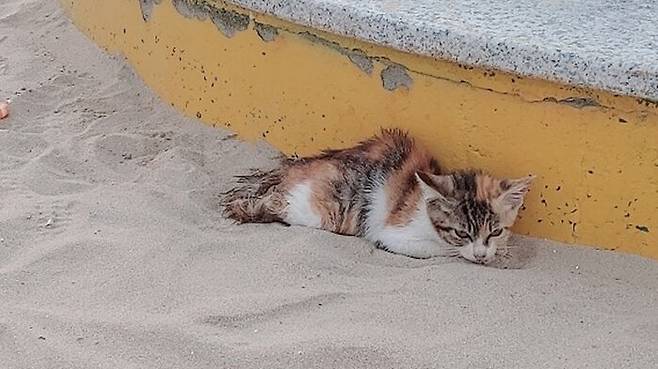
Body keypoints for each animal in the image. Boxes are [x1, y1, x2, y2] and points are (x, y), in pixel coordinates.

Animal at [222, 128, 532, 264]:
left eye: (495, 231)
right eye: (461, 233)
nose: (481, 254)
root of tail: (291, 168)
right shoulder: (394, 232)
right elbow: (441, 250)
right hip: (326, 210)